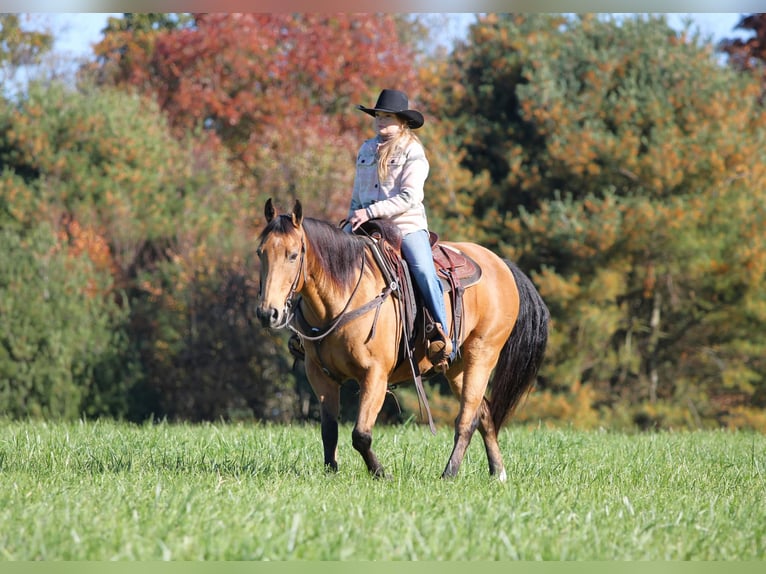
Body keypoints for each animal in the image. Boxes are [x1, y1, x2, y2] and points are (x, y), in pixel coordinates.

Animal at [255, 198, 549, 480]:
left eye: (293, 255)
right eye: (261, 253)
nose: (268, 313)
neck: (342, 298)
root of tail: (502, 265)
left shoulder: (374, 375)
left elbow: (361, 435)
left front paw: (381, 473)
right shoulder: (320, 376)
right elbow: (329, 430)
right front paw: (331, 473)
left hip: (482, 355)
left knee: (466, 420)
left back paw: (449, 474)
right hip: (457, 366)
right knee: (483, 412)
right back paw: (498, 472)